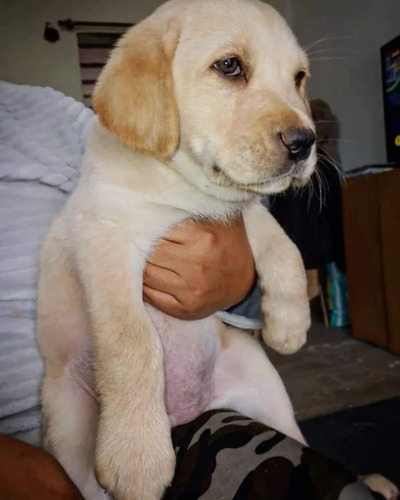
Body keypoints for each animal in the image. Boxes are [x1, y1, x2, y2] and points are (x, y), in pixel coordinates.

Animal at [36, 0, 396, 500]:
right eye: (229, 66)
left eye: (298, 77)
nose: (305, 143)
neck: (186, 192)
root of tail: (187, 414)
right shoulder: (105, 241)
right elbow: (132, 341)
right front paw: (136, 455)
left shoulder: (240, 211)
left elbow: (282, 245)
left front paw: (289, 323)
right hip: (70, 435)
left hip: (267, 392)